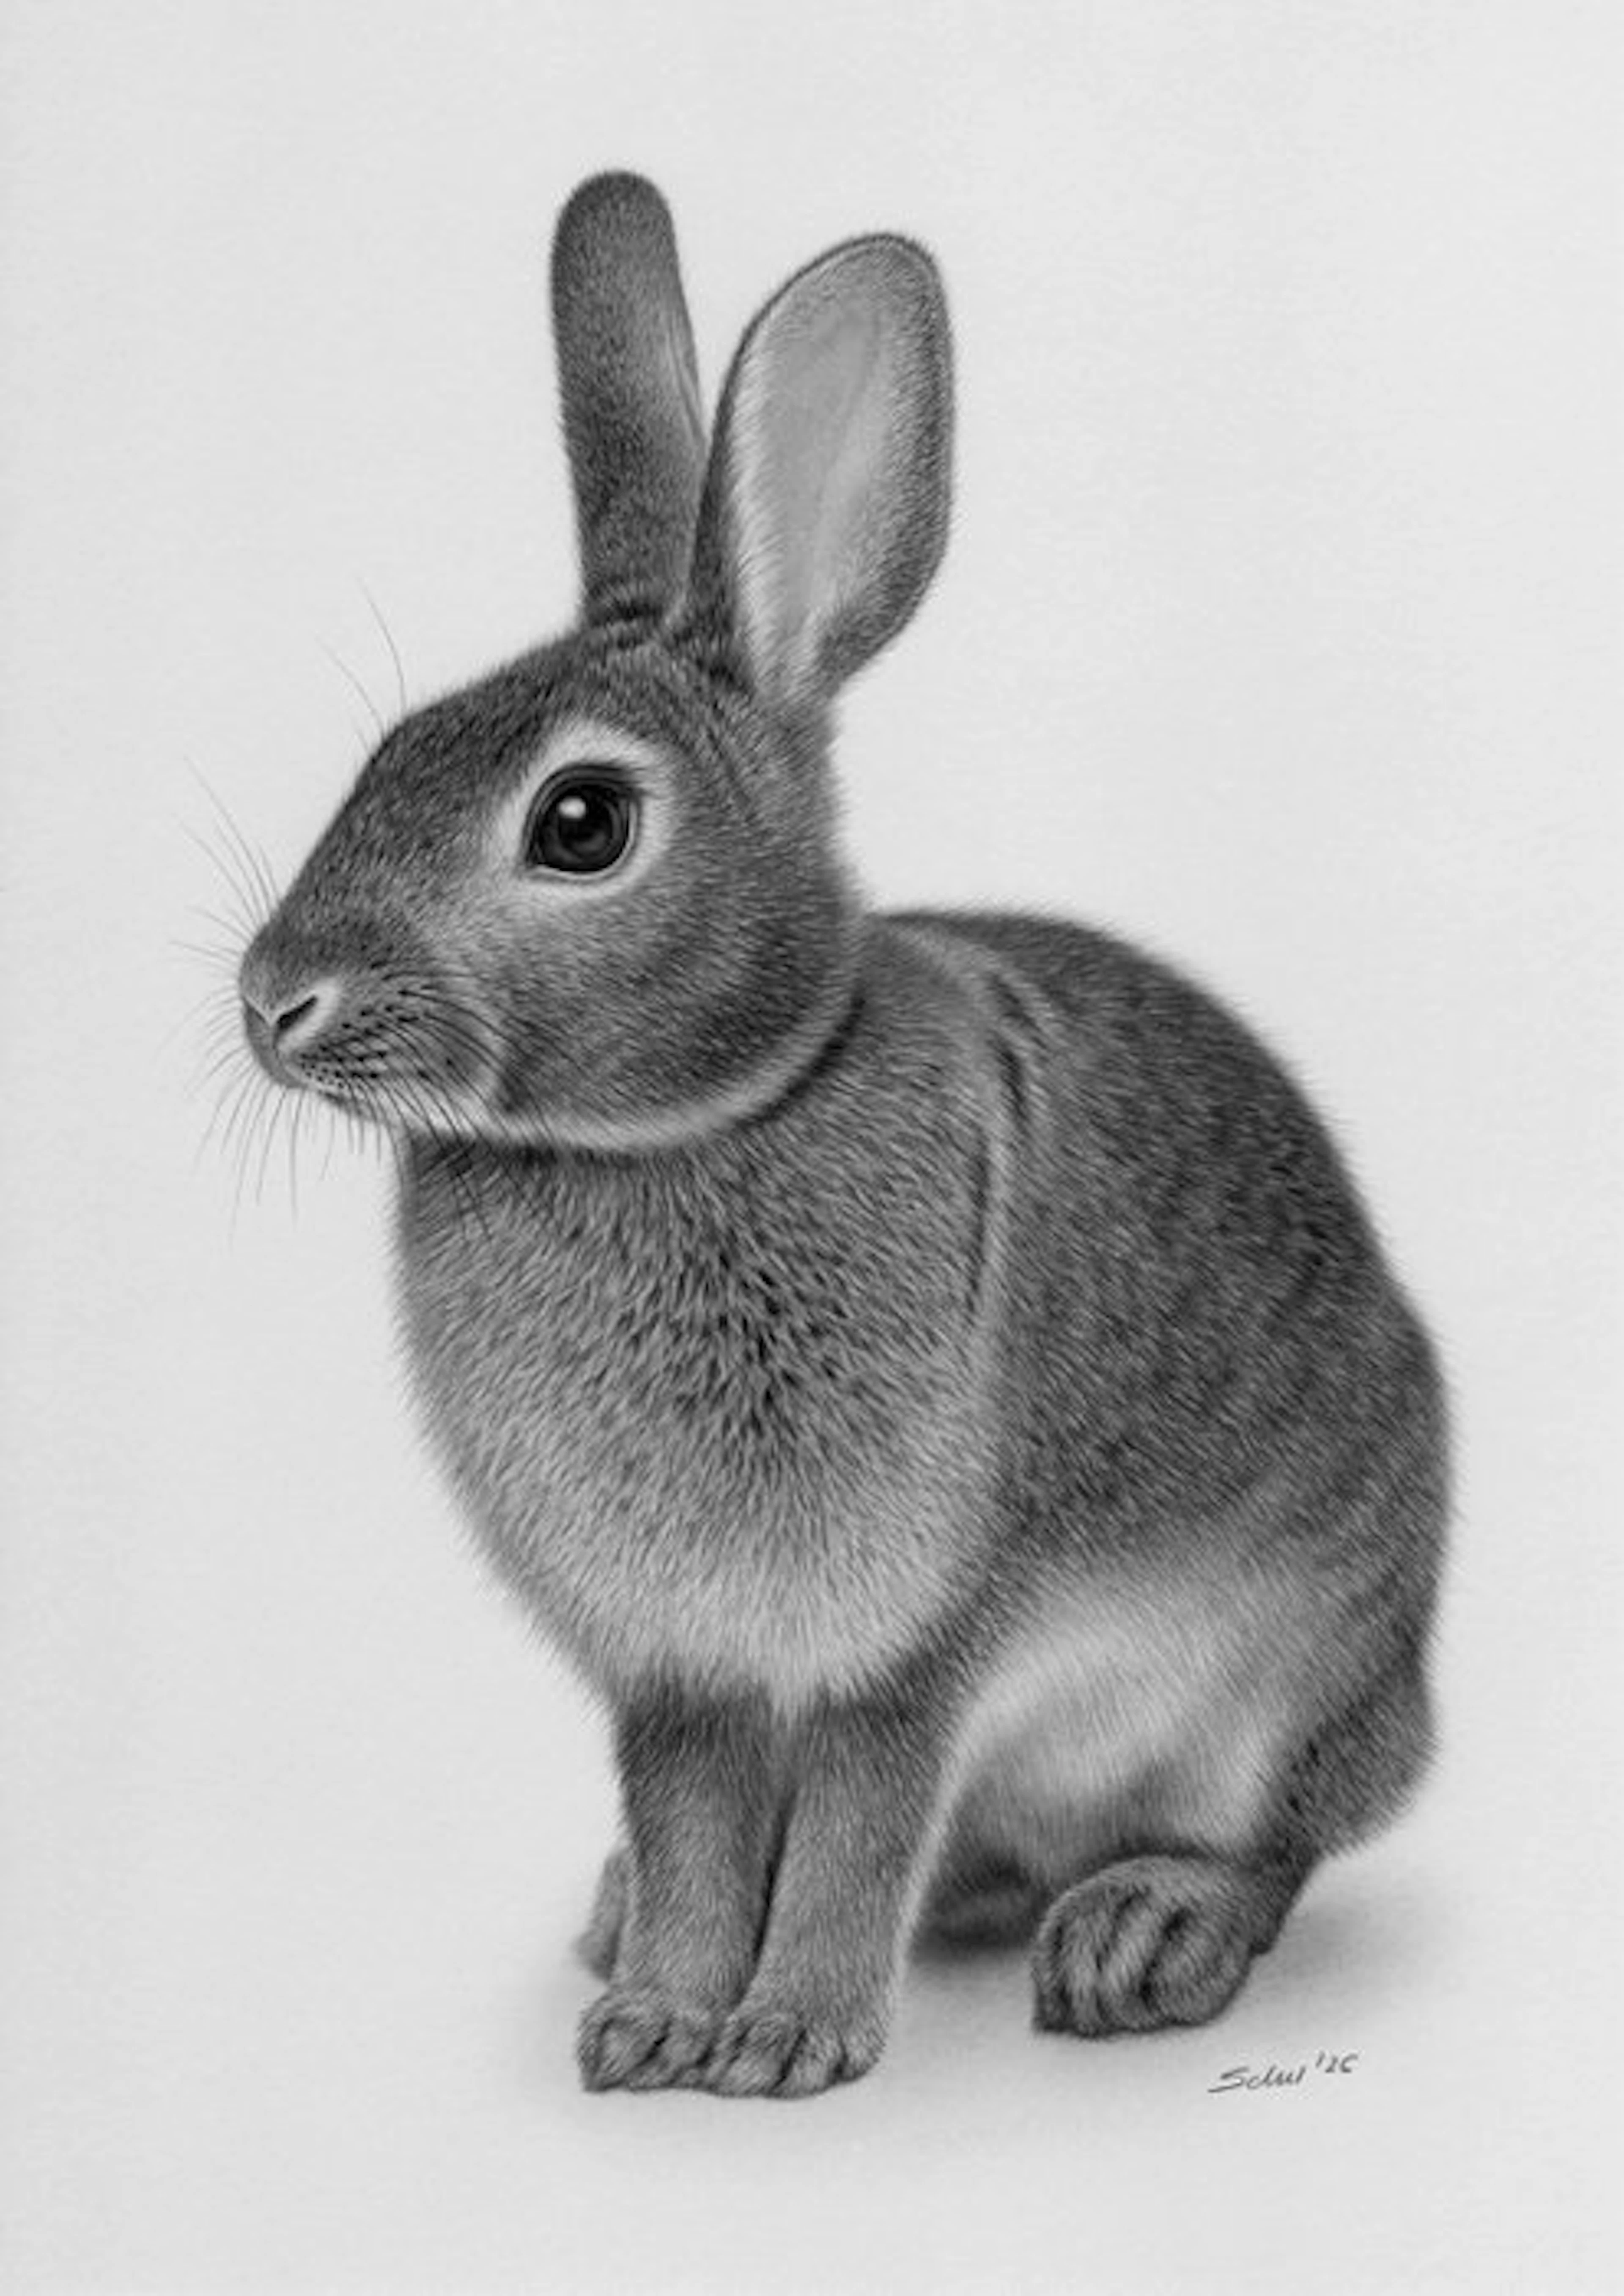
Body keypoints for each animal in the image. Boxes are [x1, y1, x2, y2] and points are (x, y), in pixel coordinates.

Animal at [237, 172, 1447, 2101]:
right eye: (393, 748)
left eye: (581, 822)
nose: (273, 999)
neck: (697, 1119)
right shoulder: (682, 1668)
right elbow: (699, 1823)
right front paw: (655, 2015)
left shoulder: (916, 1628)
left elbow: (863, 1826)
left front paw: (789, 2037)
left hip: (1284, 1678)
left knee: (1274, 1840)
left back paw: (1143, 1934)